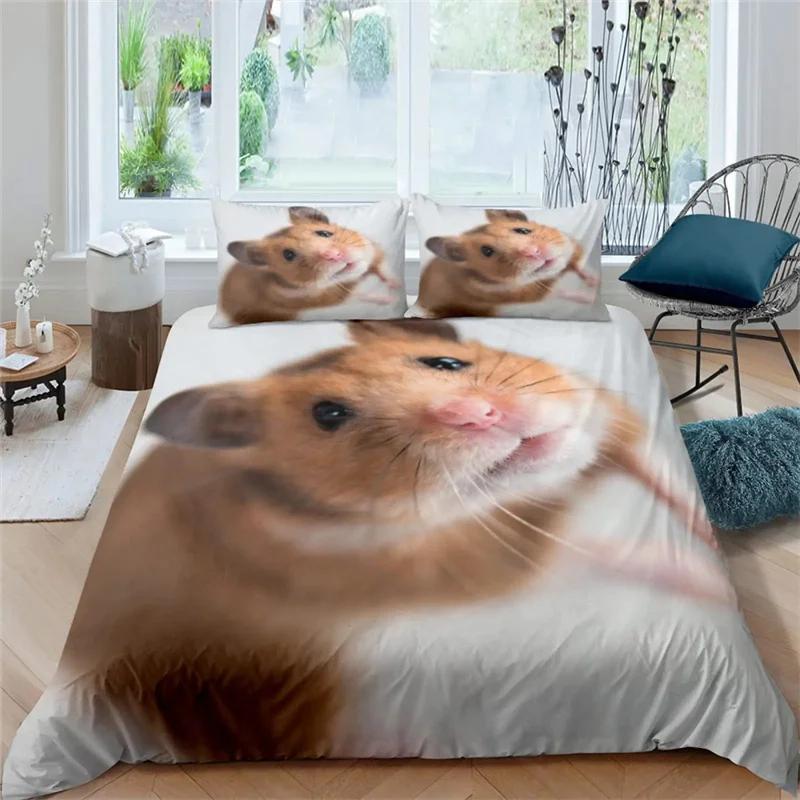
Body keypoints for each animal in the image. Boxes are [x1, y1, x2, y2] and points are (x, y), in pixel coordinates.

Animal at [57, 320, 722, 765]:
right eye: (328, 415)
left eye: (446, 363)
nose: (479, 415)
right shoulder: (476, 569)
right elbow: (599, 557)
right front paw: (693, 578)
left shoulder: (610, 421)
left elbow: (660, 480)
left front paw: (698, 538)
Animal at [219, 206, 399, 324]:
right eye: (288, 255)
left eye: (324, 233)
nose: (335, 255)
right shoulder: (323, 301)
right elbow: (358, 296)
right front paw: (387, 299)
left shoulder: (373, 251)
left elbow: (383, 268)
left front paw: (395, 285)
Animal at [417, 209, 600, 318]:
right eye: (487, 251)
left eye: (523, 230)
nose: (534, 252)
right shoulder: (524, 295)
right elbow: (560, 292)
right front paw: (587, 297)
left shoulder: (572, 249)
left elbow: (576, 266)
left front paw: (593, 281)